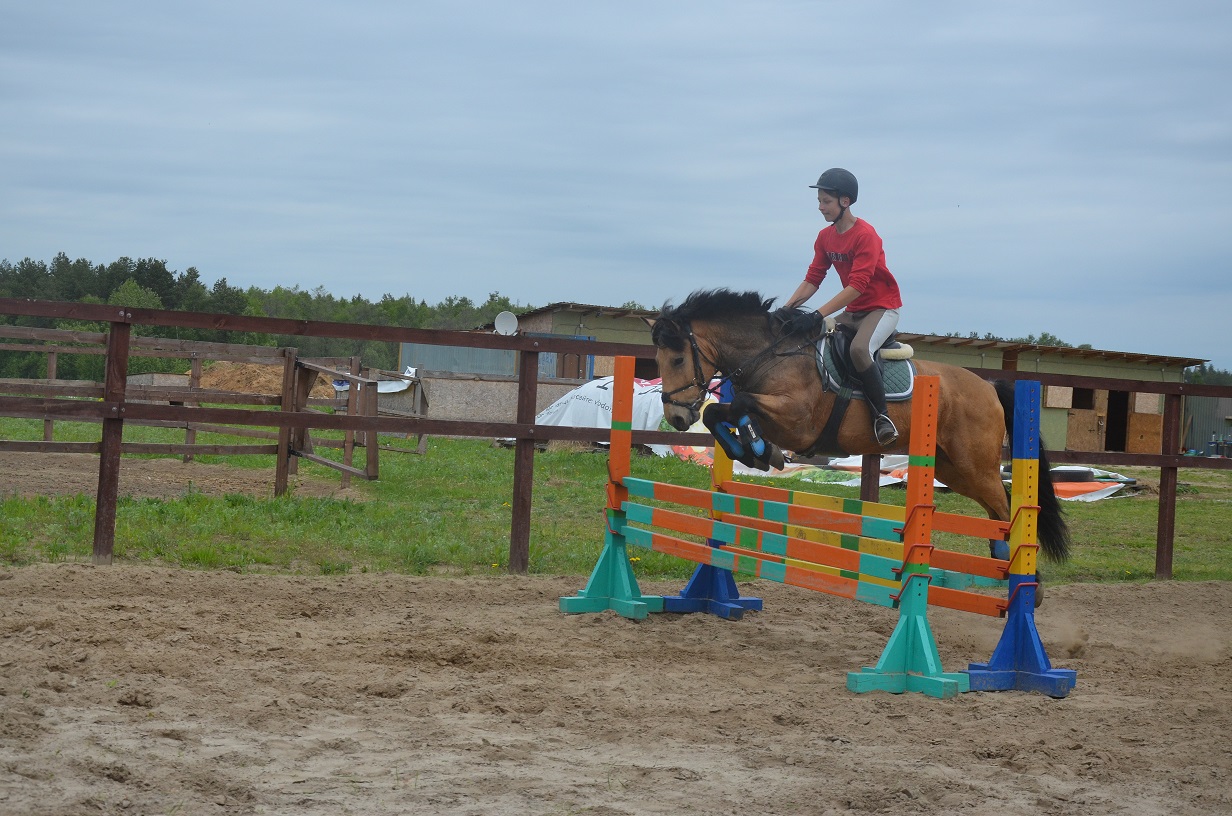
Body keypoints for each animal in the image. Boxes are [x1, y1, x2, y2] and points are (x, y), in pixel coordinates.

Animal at [646, 288, 1071, 564]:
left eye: (679, 358)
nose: (677, 418)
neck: (772, 355)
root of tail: (989, 386)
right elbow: (720, 414)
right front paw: (753, 452)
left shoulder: (797, 422)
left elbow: (738, 406)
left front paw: (760, 450)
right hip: (954, 470)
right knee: (997, 509)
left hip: (974, 465)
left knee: (1005, 506)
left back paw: (1024, 583)